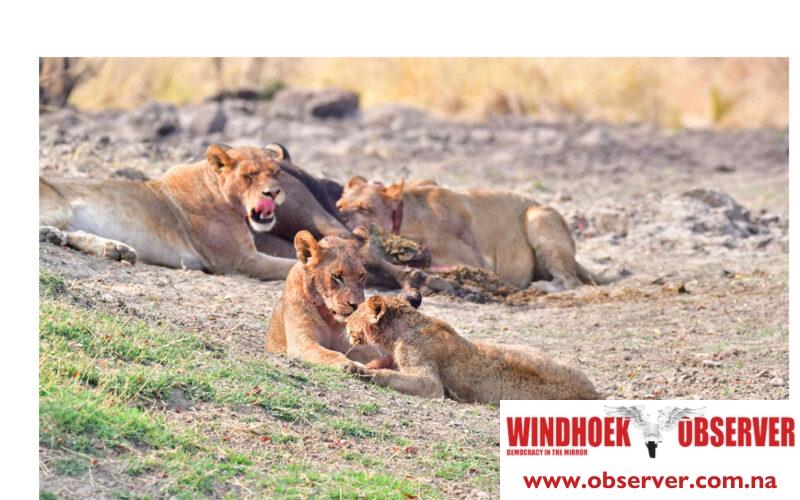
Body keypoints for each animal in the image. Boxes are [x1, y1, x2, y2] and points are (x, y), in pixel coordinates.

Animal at [39, 144, 298, 280]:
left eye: (276, 172)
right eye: (249, 175)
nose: (273, 193)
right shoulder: (239, 261)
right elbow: (288, 265)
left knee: (73, 234)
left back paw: (116, 250)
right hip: (61, 208)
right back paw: (50, 234)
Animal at [266, 226, 392, 370]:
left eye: (362, 275)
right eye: (336, 276)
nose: (356, 306)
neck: (328, 316)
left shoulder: (359, 347)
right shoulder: (301, 342)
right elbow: (328, 354)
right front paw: (350, 364)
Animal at [336, 177, 606, 292]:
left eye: (364, 209)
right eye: (340, 204)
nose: (342, 216)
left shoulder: (474, 260)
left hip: (537, 216)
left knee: (570, 281)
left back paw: (542, 287)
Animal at [345, 291, 602, 402]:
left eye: (356, 311)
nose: (345, 322)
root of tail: (594, 394)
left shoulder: (429, 381)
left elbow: (392, 375)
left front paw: (357, 370)